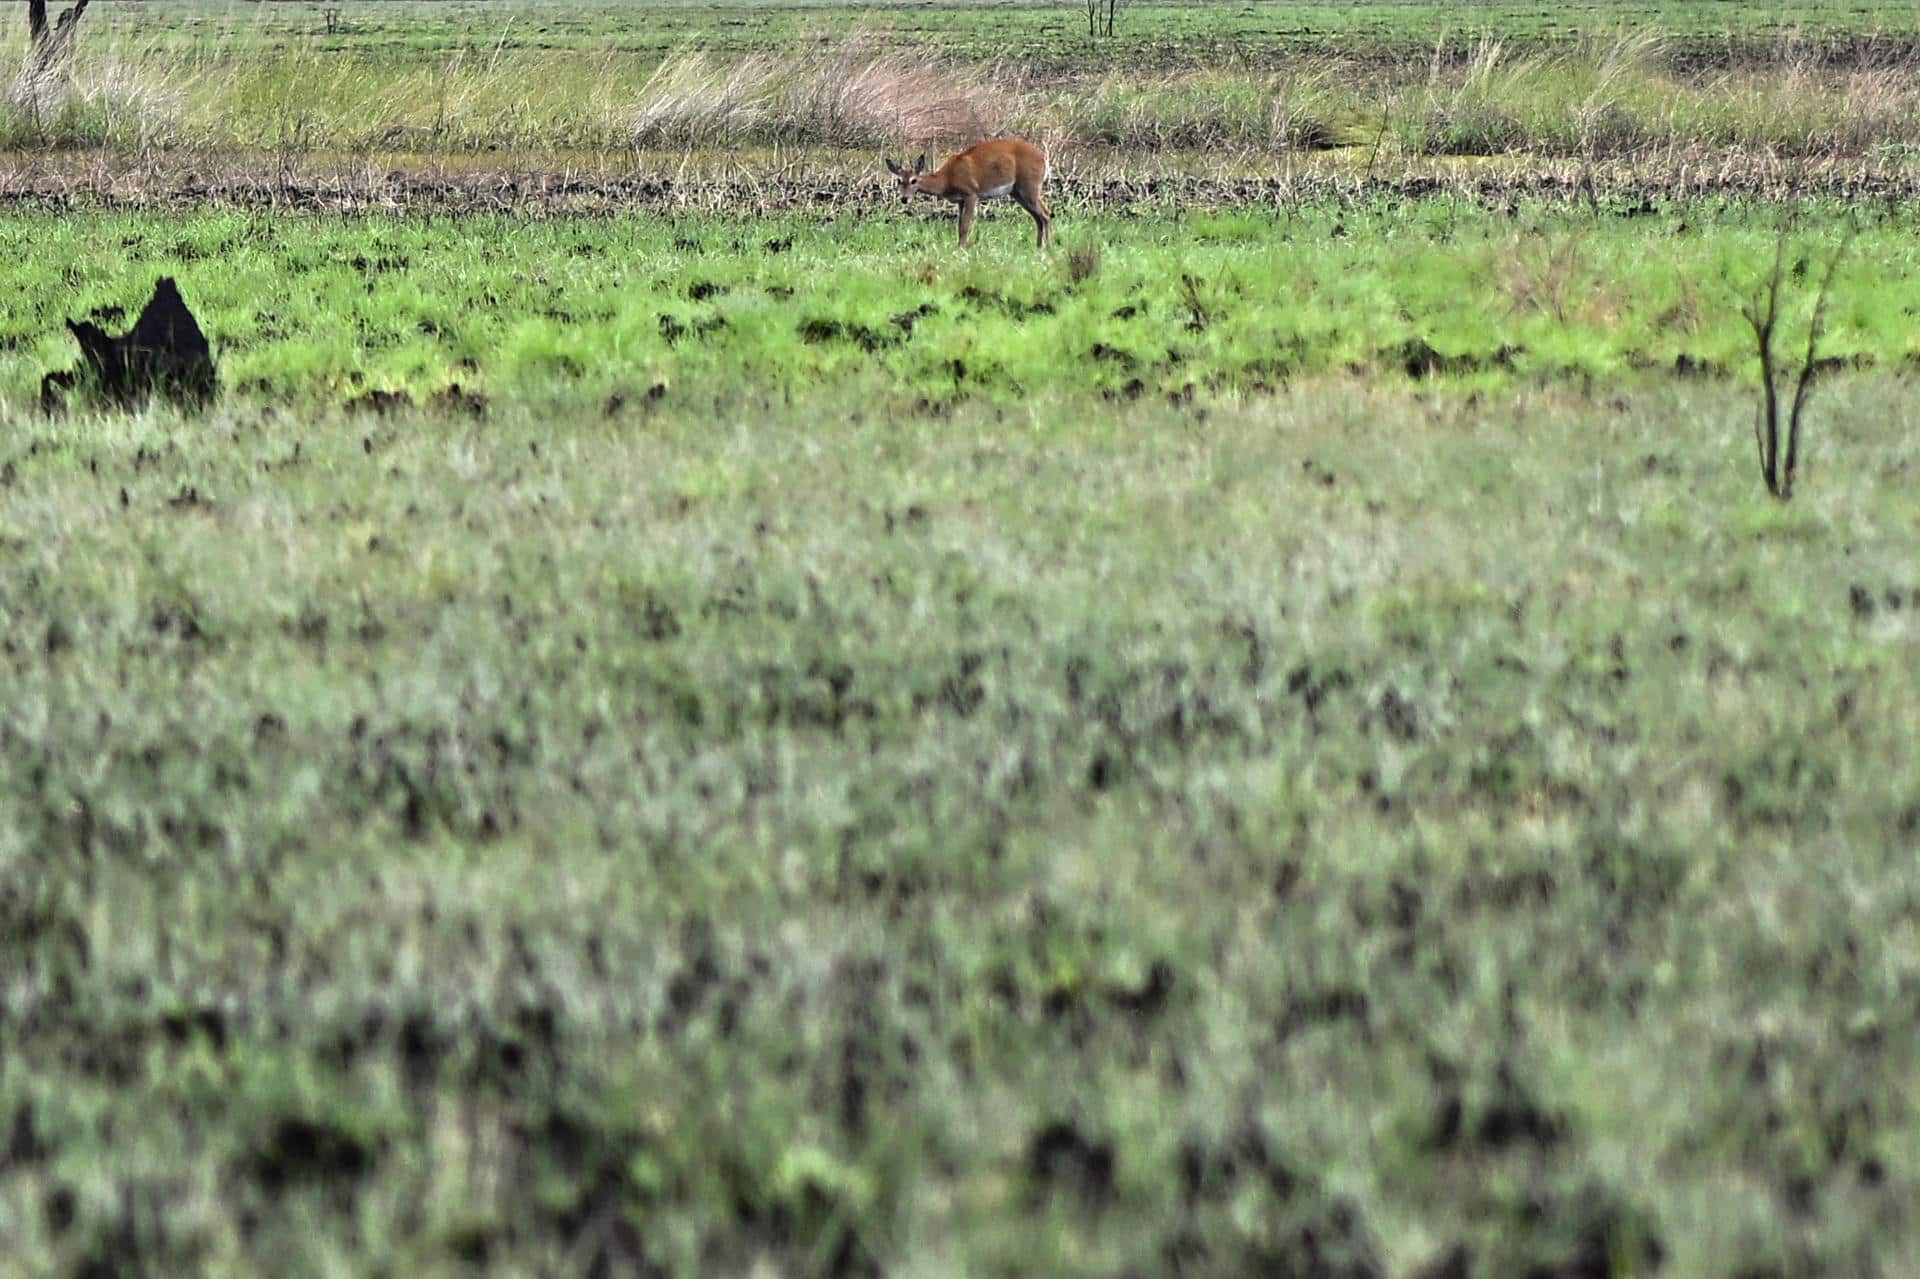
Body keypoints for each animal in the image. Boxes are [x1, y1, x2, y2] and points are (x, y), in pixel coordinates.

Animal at [885, 138, 1052, 250]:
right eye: (898, 180)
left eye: (913, 180)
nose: (904, 199)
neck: (947, 178)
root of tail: (1043, 158)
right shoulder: (960, 200)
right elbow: (959, 225)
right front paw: (959, 246)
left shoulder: (971, 193)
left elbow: (965, 225)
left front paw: (962, 249)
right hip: (1018, 192)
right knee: (1038, 217)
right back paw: (1038, 246)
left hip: (1030, 186)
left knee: (1045, 214)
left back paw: (1047, 247)